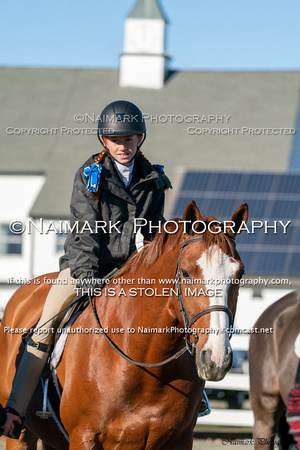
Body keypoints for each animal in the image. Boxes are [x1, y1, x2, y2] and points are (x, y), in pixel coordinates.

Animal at [0, 202, 247, 448]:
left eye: (239, 275)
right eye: (185, 273)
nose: (216, 358)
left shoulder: (181, 439)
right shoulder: (84, 437)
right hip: (20, 434)